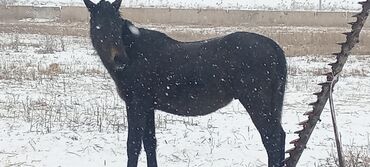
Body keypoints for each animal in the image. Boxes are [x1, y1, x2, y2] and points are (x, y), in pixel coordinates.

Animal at [83, 0, 286, 166]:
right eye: (98, 26)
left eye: (117, 25)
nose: (120, 60)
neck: (135, 53)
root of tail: (273, 46)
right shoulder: (148, 107)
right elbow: (150, 143)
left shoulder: (136, 105)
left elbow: (133, 146)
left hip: (257, 103)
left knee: (272, 139)